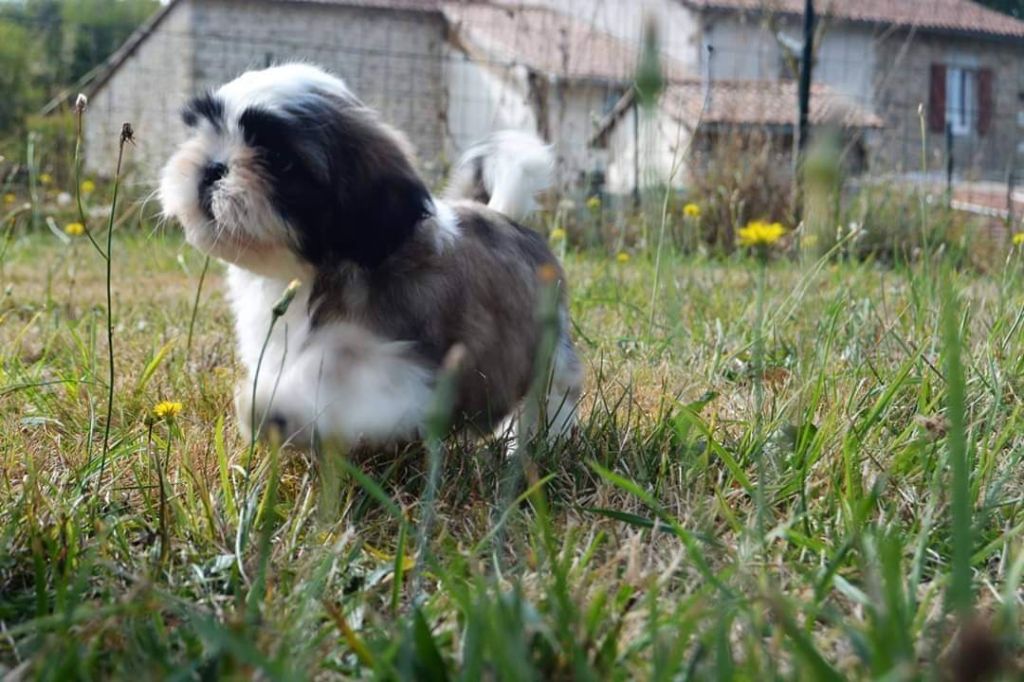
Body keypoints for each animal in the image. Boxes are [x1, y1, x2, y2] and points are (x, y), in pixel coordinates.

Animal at [156, 63, 581, 446]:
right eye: (204, 133)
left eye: (279, 161)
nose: (212, 167)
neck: (312, 273)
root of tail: (506, 215)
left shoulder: (408, 369)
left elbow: (342, 386)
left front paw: (274, 411)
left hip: (549, 348)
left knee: (554, 392)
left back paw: (540, 442)